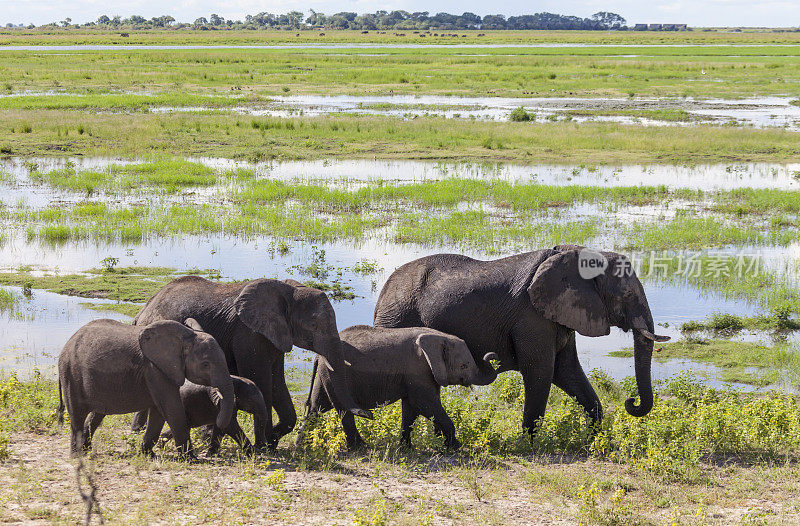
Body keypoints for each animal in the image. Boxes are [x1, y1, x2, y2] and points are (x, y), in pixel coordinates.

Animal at [57, 318, 233, 458]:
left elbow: (159, 413)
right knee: (77, 415)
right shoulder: (155, 369)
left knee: (97, 414)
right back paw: (77, 456)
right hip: (70, 374)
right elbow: (172, 409)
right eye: (206, 364)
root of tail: (67, 344)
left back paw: (86, 450)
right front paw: (191, 458)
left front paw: (148, 454)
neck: (186, 337)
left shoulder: (159, 371)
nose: (217, 422)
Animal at [136, 276, 374, 450]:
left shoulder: (275, 336)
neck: (288, 290)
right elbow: (261, 380)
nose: (369, 414)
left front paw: (273, 440)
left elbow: (277, 382)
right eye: (313, 325)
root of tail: (144, 309)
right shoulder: (249, 334)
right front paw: (267, 444)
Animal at [296, 328, 494, 452]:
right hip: (334, 374)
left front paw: (406, 448)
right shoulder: (418, 370)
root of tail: (318, 356)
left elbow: (411, 409)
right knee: (341, 410)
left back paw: (302, 445)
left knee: (316, 407)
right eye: (464, 366)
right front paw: (457, 446)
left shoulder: (418, 374)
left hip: (325, 376)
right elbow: (425, 404)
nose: (490, 355)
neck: (438, 337)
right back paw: (361, 447)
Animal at [374, 245, 668, 436]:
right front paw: (528, 443)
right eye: (627, 296)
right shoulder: (532, 317)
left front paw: (595, 439)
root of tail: (383, 292)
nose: (631, 401)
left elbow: (567, 371)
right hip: (397, 318)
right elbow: (541, 371)